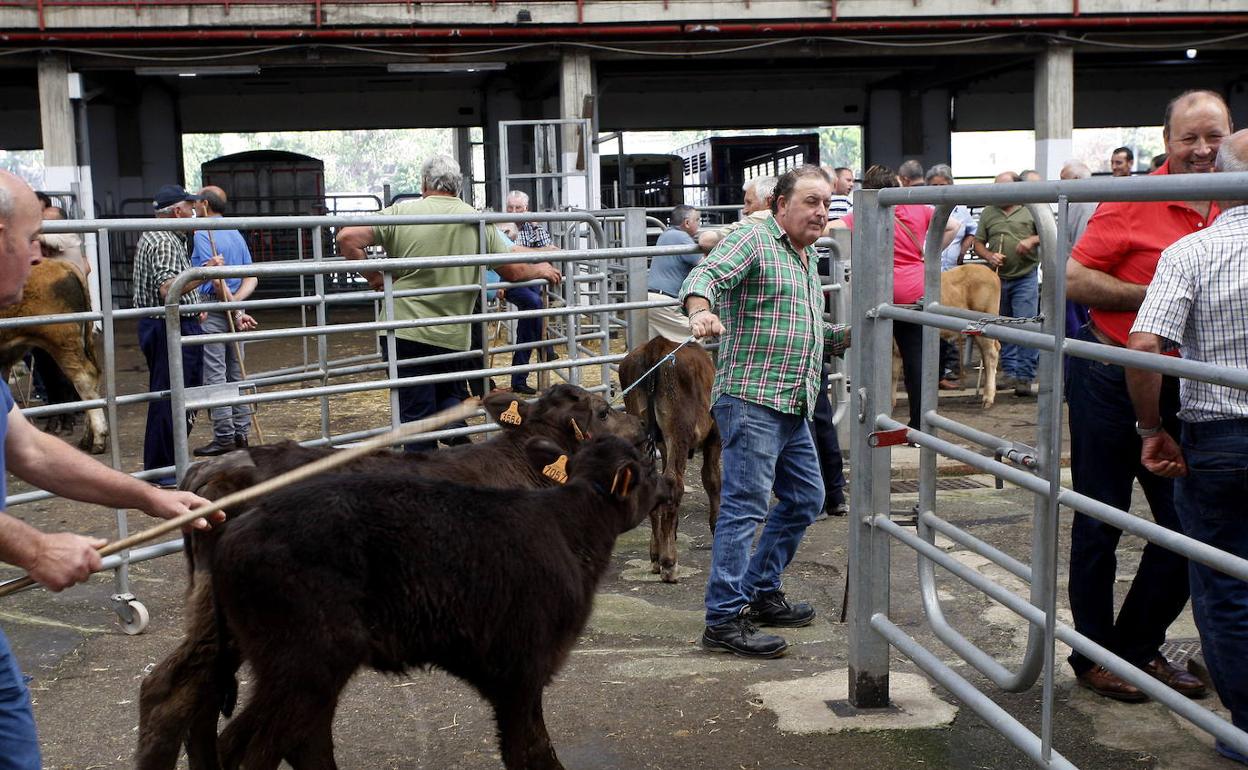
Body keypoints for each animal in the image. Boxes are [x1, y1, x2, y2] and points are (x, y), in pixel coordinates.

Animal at [616, 336, 723, 581]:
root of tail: (655, 347)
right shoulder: (715, 438)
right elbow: (712, 480)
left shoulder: (663, 448)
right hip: (679, 431)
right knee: (675, 483)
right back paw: (669, 562)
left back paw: (656, 556)